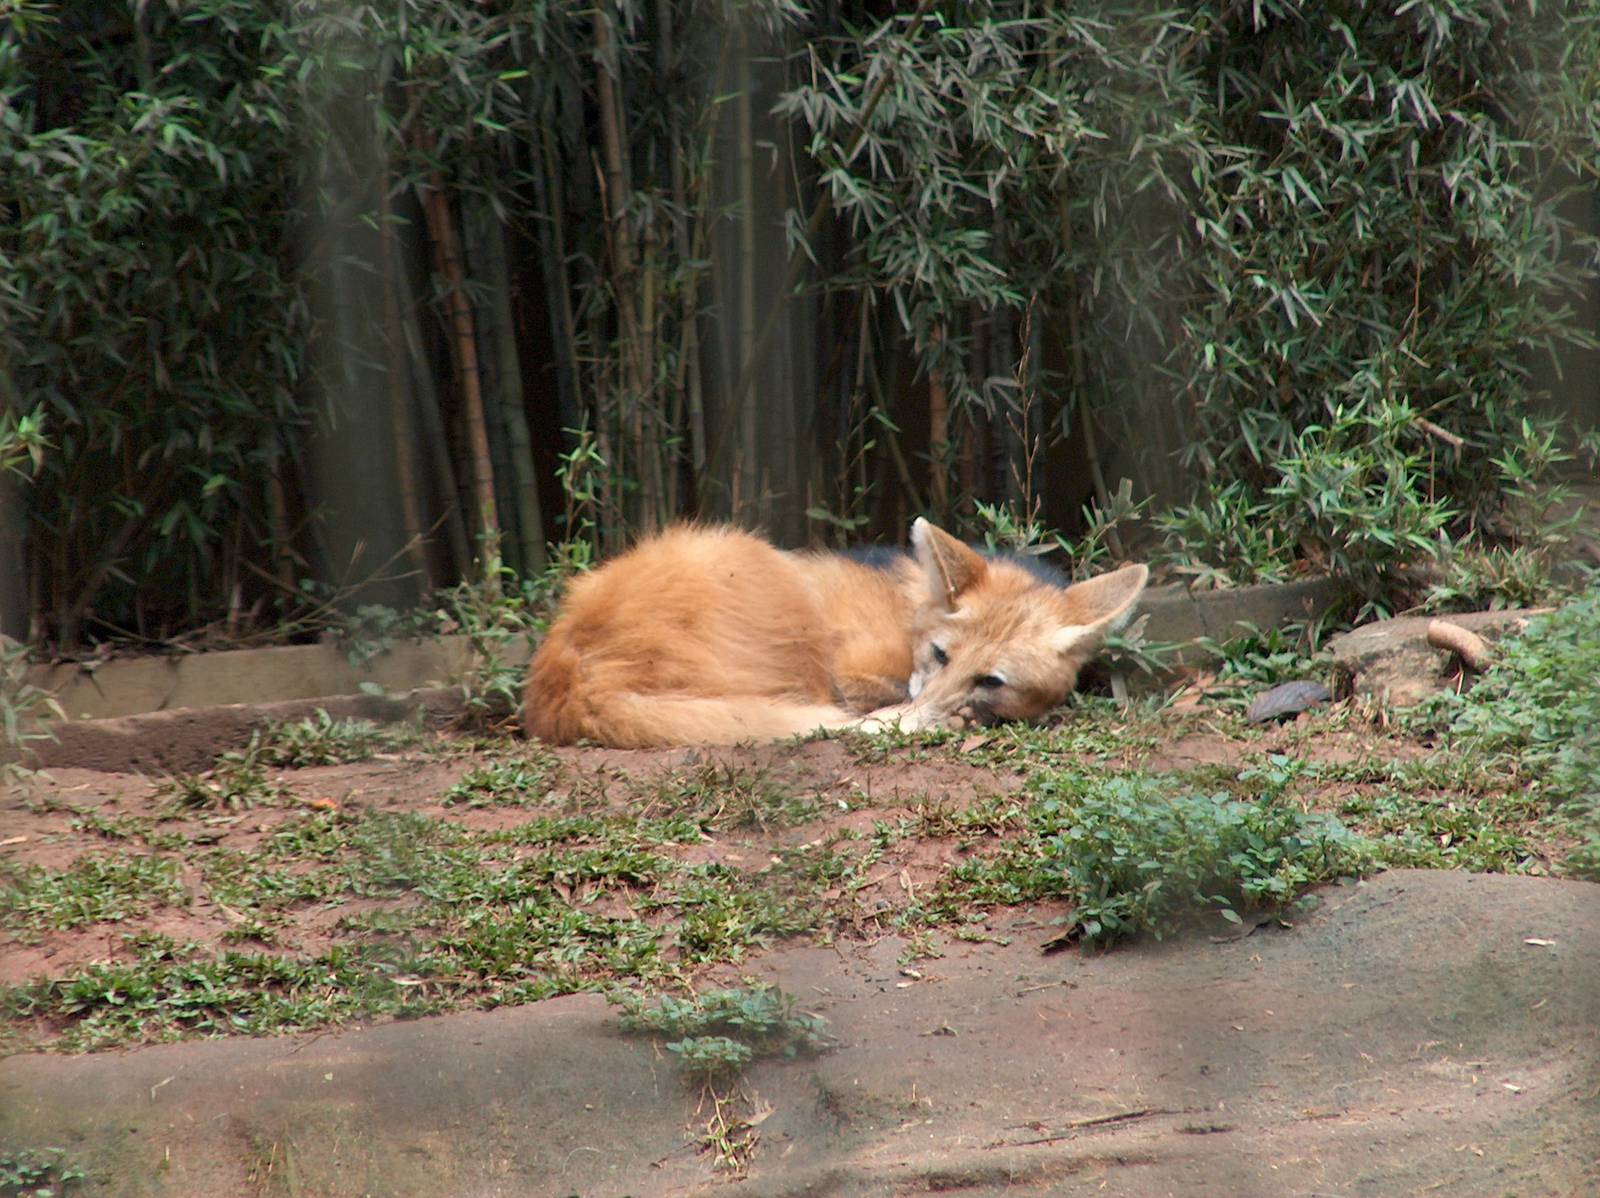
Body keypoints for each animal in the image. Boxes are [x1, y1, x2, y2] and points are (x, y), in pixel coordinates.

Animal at [523, 518, 1148, 748]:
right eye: (941, 654)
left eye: (991, 679)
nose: (935, 709)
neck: (906, 610)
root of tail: (564, 673)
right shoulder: (850, 672)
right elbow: (875, 698)